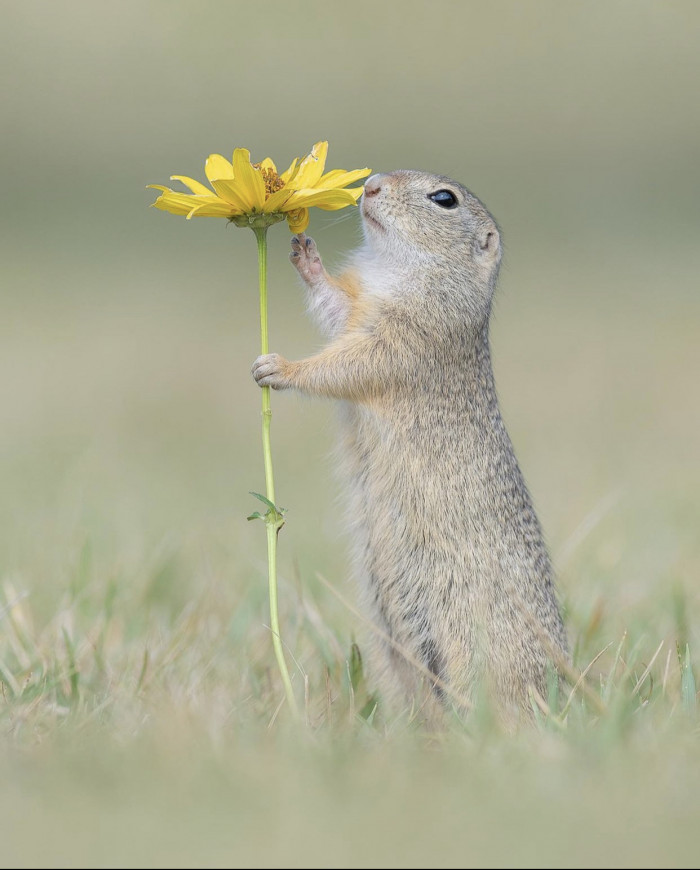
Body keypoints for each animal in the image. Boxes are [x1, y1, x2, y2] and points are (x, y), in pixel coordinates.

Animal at [252, 172, 568, 728]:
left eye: (444, 199)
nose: (372, 184)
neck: (397, 272)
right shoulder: (360, 313)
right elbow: (336, 309)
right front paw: (306, 257)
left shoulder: (406, 336)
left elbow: (346, 365)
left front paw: (279, 368)